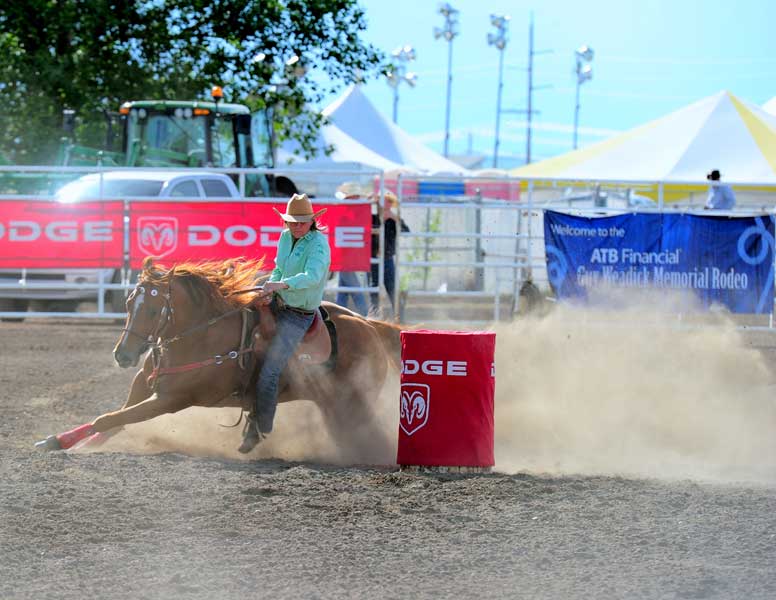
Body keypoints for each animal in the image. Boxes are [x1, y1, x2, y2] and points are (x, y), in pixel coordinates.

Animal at [33, 255, 404, 452]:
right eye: (127, 303)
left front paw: (63, 443)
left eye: (152, 309)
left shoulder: (171, 399)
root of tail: (370, 327)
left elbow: (110, 418)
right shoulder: (143, 383)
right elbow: (113, 420)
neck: (197, 334)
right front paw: (61, 440)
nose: (123, 355)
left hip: (347, 403)